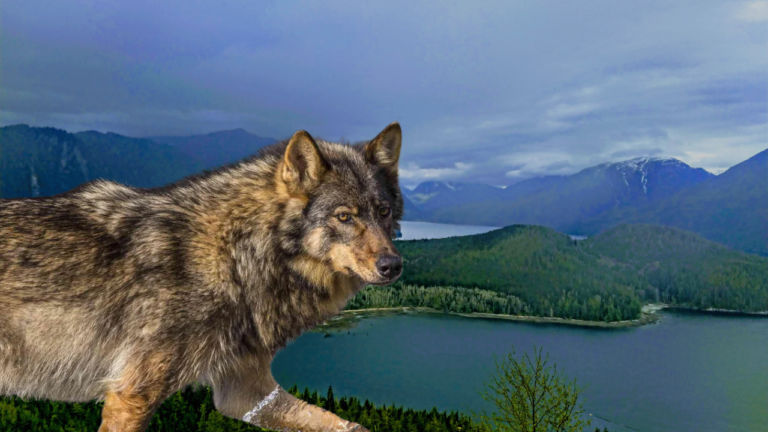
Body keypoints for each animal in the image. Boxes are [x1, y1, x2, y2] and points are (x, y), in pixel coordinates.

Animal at [0, 122, 405, 432]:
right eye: (344, 217)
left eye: (383, 211)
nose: (393, 265)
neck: (235, 256)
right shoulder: (132, 393)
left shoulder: (246, 392)